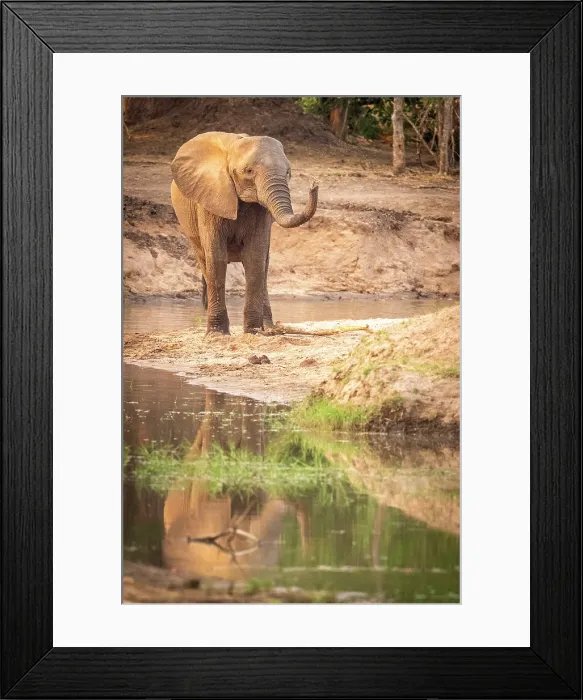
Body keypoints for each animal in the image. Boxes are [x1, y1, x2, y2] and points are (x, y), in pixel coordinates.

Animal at [170, 131, 319, 334]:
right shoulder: (210, 198)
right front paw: (217, 333)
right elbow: (216, 258)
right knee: (204, 260)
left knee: (264, 265)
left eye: (288, 173)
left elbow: (255, 257)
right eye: (248, 171)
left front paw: (254, 331)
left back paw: (269, 328)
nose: (314, 184)